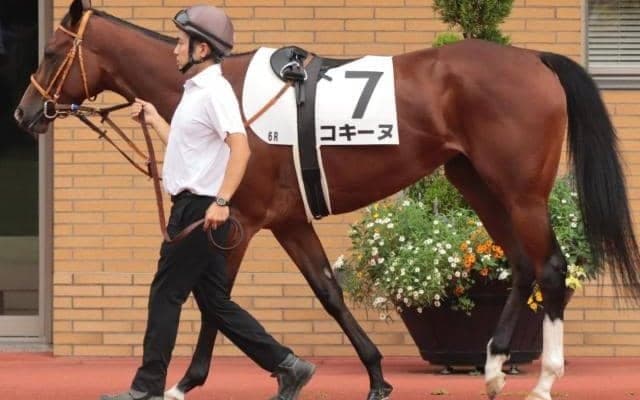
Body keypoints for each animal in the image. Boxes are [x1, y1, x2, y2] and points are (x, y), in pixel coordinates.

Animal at [14, 1, 640, 400]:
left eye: (50, 51)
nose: (24, 113)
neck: (214, 86)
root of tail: (535, 58)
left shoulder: (236, 221)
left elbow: (215, 301)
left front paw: (183, 383)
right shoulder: (289, 221)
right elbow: (329, 293)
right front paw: (375, 376)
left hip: (519, 189)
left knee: (550, 267)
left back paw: (544, 379)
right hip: (475, 181)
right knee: (520, 263)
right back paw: (490, 368)